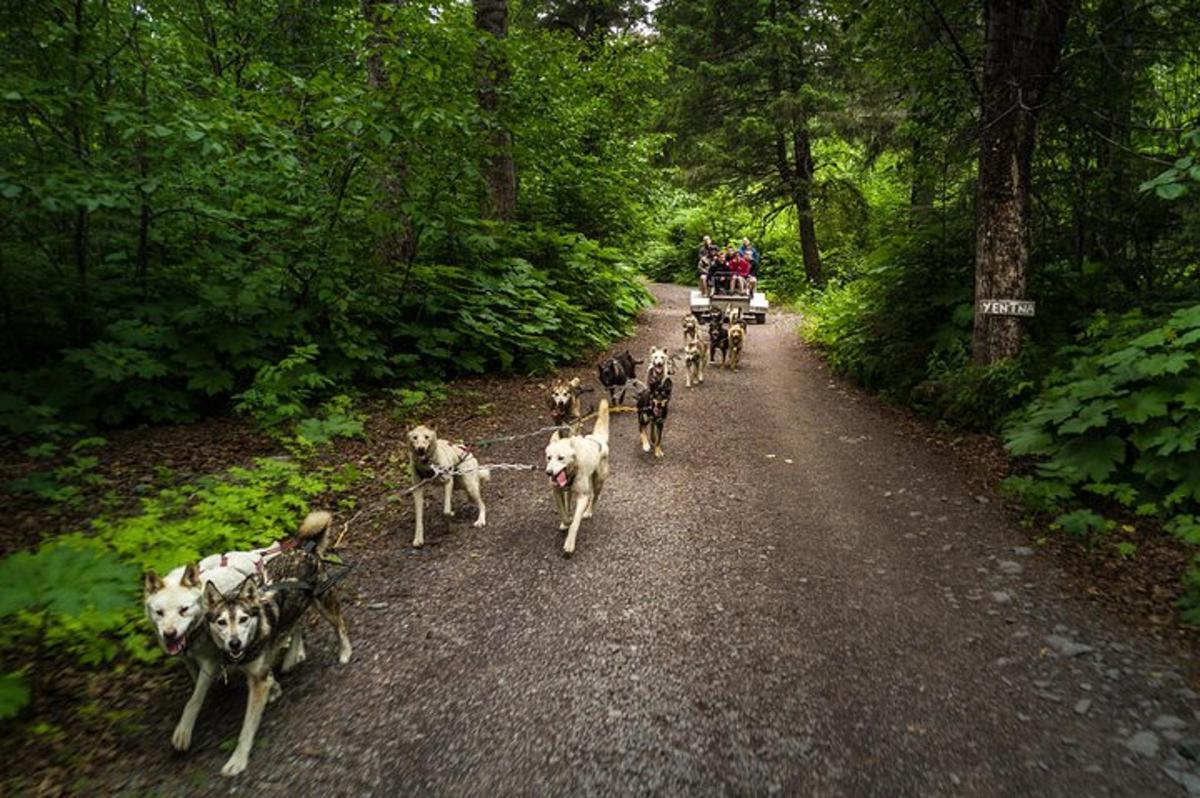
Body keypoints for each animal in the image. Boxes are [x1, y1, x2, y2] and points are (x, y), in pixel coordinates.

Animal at [201, 506, 350, 772]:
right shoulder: (255, 670)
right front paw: (276, 688)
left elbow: (247, 727)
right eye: (221, 622)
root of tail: (306, 550)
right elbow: (268, 676)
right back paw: (291, 657)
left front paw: (238, 760)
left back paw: (344, 652)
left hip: (324, 603)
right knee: (296, 625)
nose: (235, 643)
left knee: (340, 625)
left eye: (243, 619)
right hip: (298, 608)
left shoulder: (257, 682)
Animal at [549, 396, 614, 554]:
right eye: (549, 457)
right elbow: (563, 511)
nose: (549, 472)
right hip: (570, 491)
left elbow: (575, 523)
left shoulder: (582, 498)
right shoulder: (557, 492)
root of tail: (598, 439)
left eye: (561, 458)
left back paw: (589, 511)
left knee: (594, 497)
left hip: (598, 483)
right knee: (568, 501)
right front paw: (565, 521)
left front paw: (569, 543)